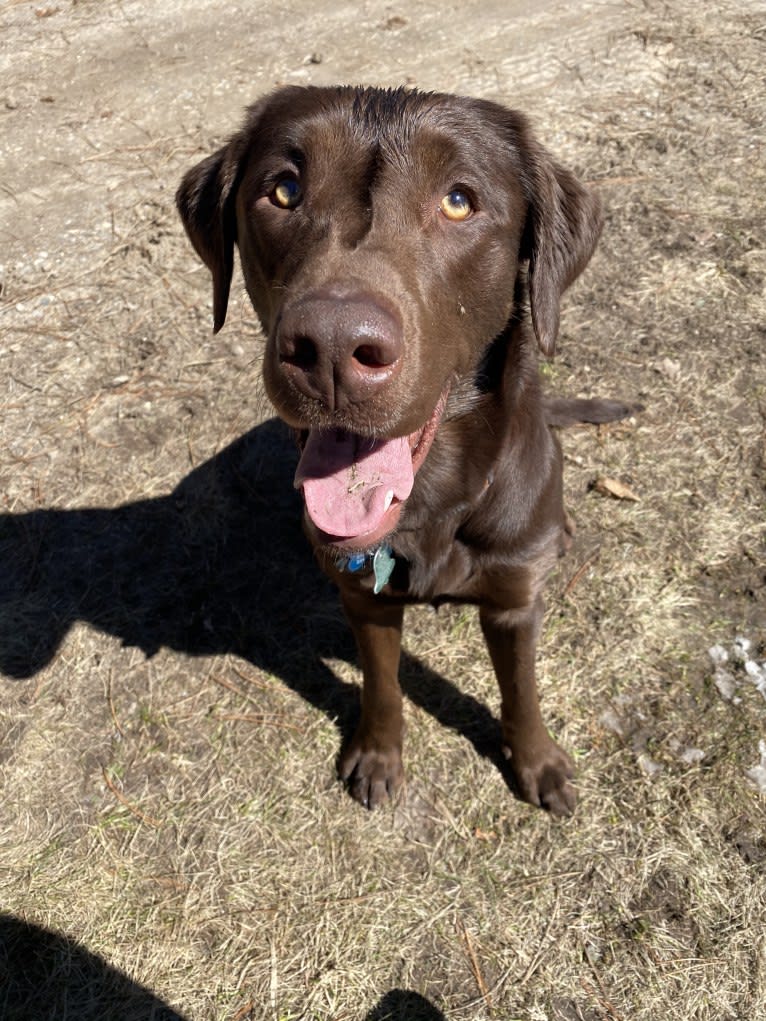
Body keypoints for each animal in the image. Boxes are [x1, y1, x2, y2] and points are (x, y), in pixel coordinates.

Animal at [178, 85, 637, 812]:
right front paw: (377, 753)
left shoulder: (513, 605)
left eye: (459, 201)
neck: (435, 504)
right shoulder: (363, 598)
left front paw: (537, 762)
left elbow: (521, 690)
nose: (332, 347)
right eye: (283, 190)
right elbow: (383, 683)